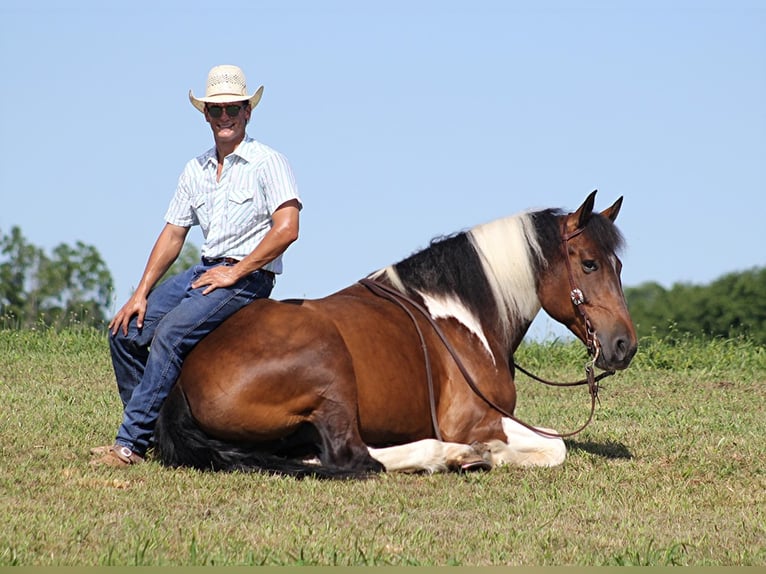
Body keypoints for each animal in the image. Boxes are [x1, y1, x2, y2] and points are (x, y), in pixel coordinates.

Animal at [153, 191, 640, 480]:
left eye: (618, 265)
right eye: (589, 264)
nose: (624, 345)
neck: (464, 311)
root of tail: (182, 379)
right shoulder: (472, 419)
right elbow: (555, 446)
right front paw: (485, 452)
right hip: (329, 374)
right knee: (353, 457)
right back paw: (447, 456)